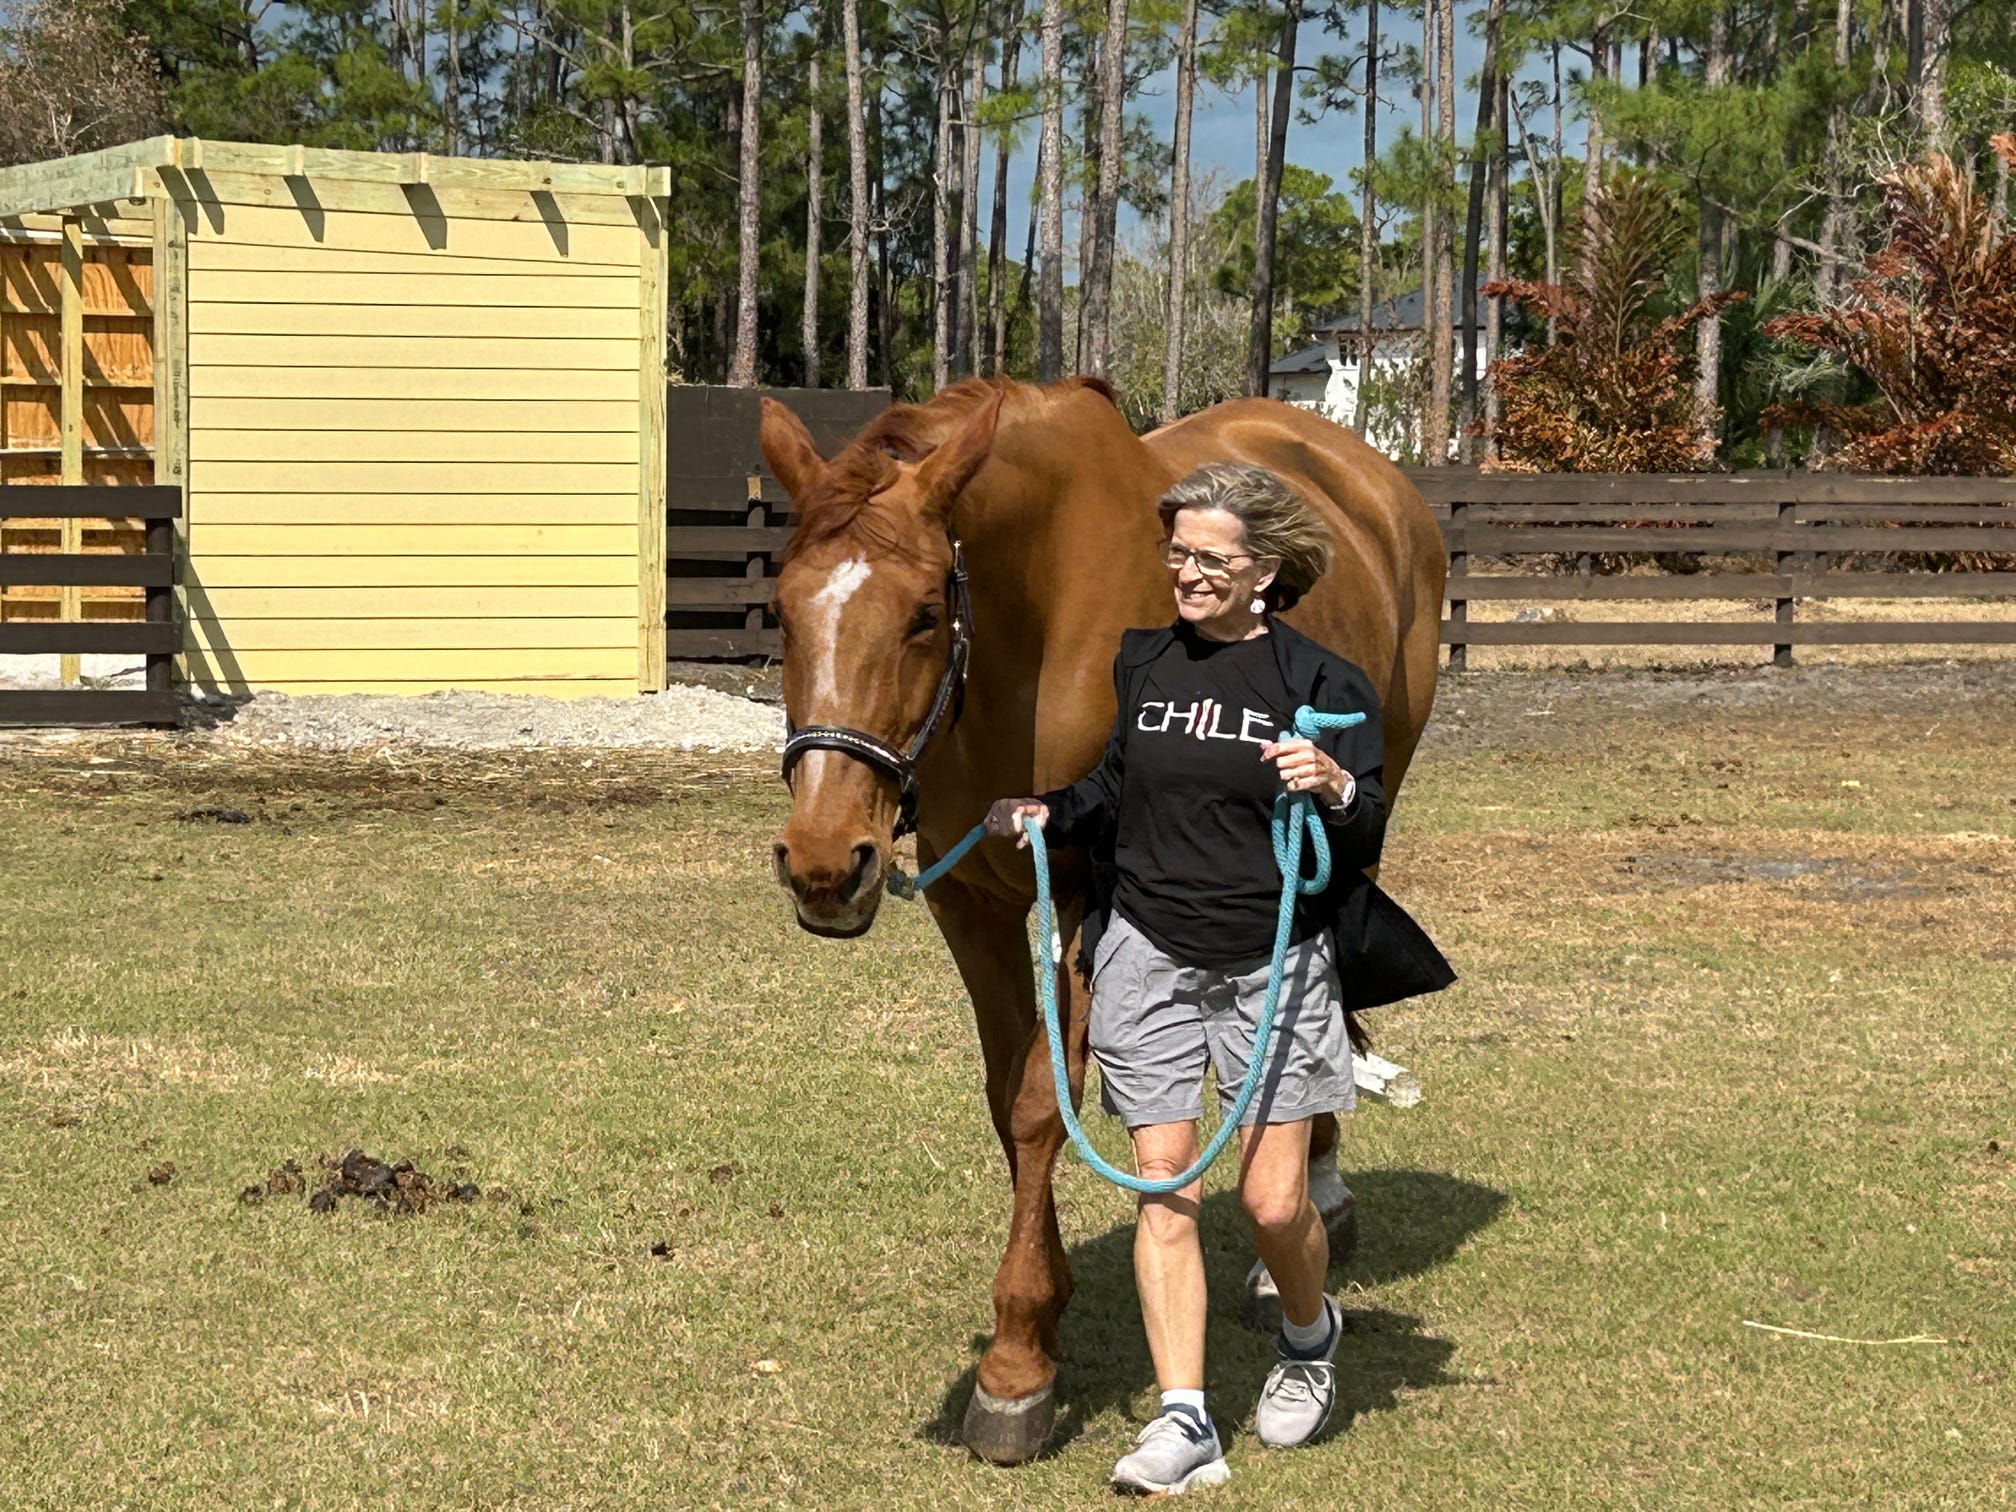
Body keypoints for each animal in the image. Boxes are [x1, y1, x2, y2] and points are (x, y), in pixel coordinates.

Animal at [760, 376, 1445, 1464]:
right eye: (782, 612)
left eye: (922, 615)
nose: (826, 865)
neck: (1028, 638)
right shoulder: (969, 902)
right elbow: (1008, 1100)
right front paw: (1036, 1323)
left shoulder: (1082, 895)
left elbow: (1046, 1106)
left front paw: (1014, 1369)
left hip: (1361, 817)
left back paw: (1310, 1218)